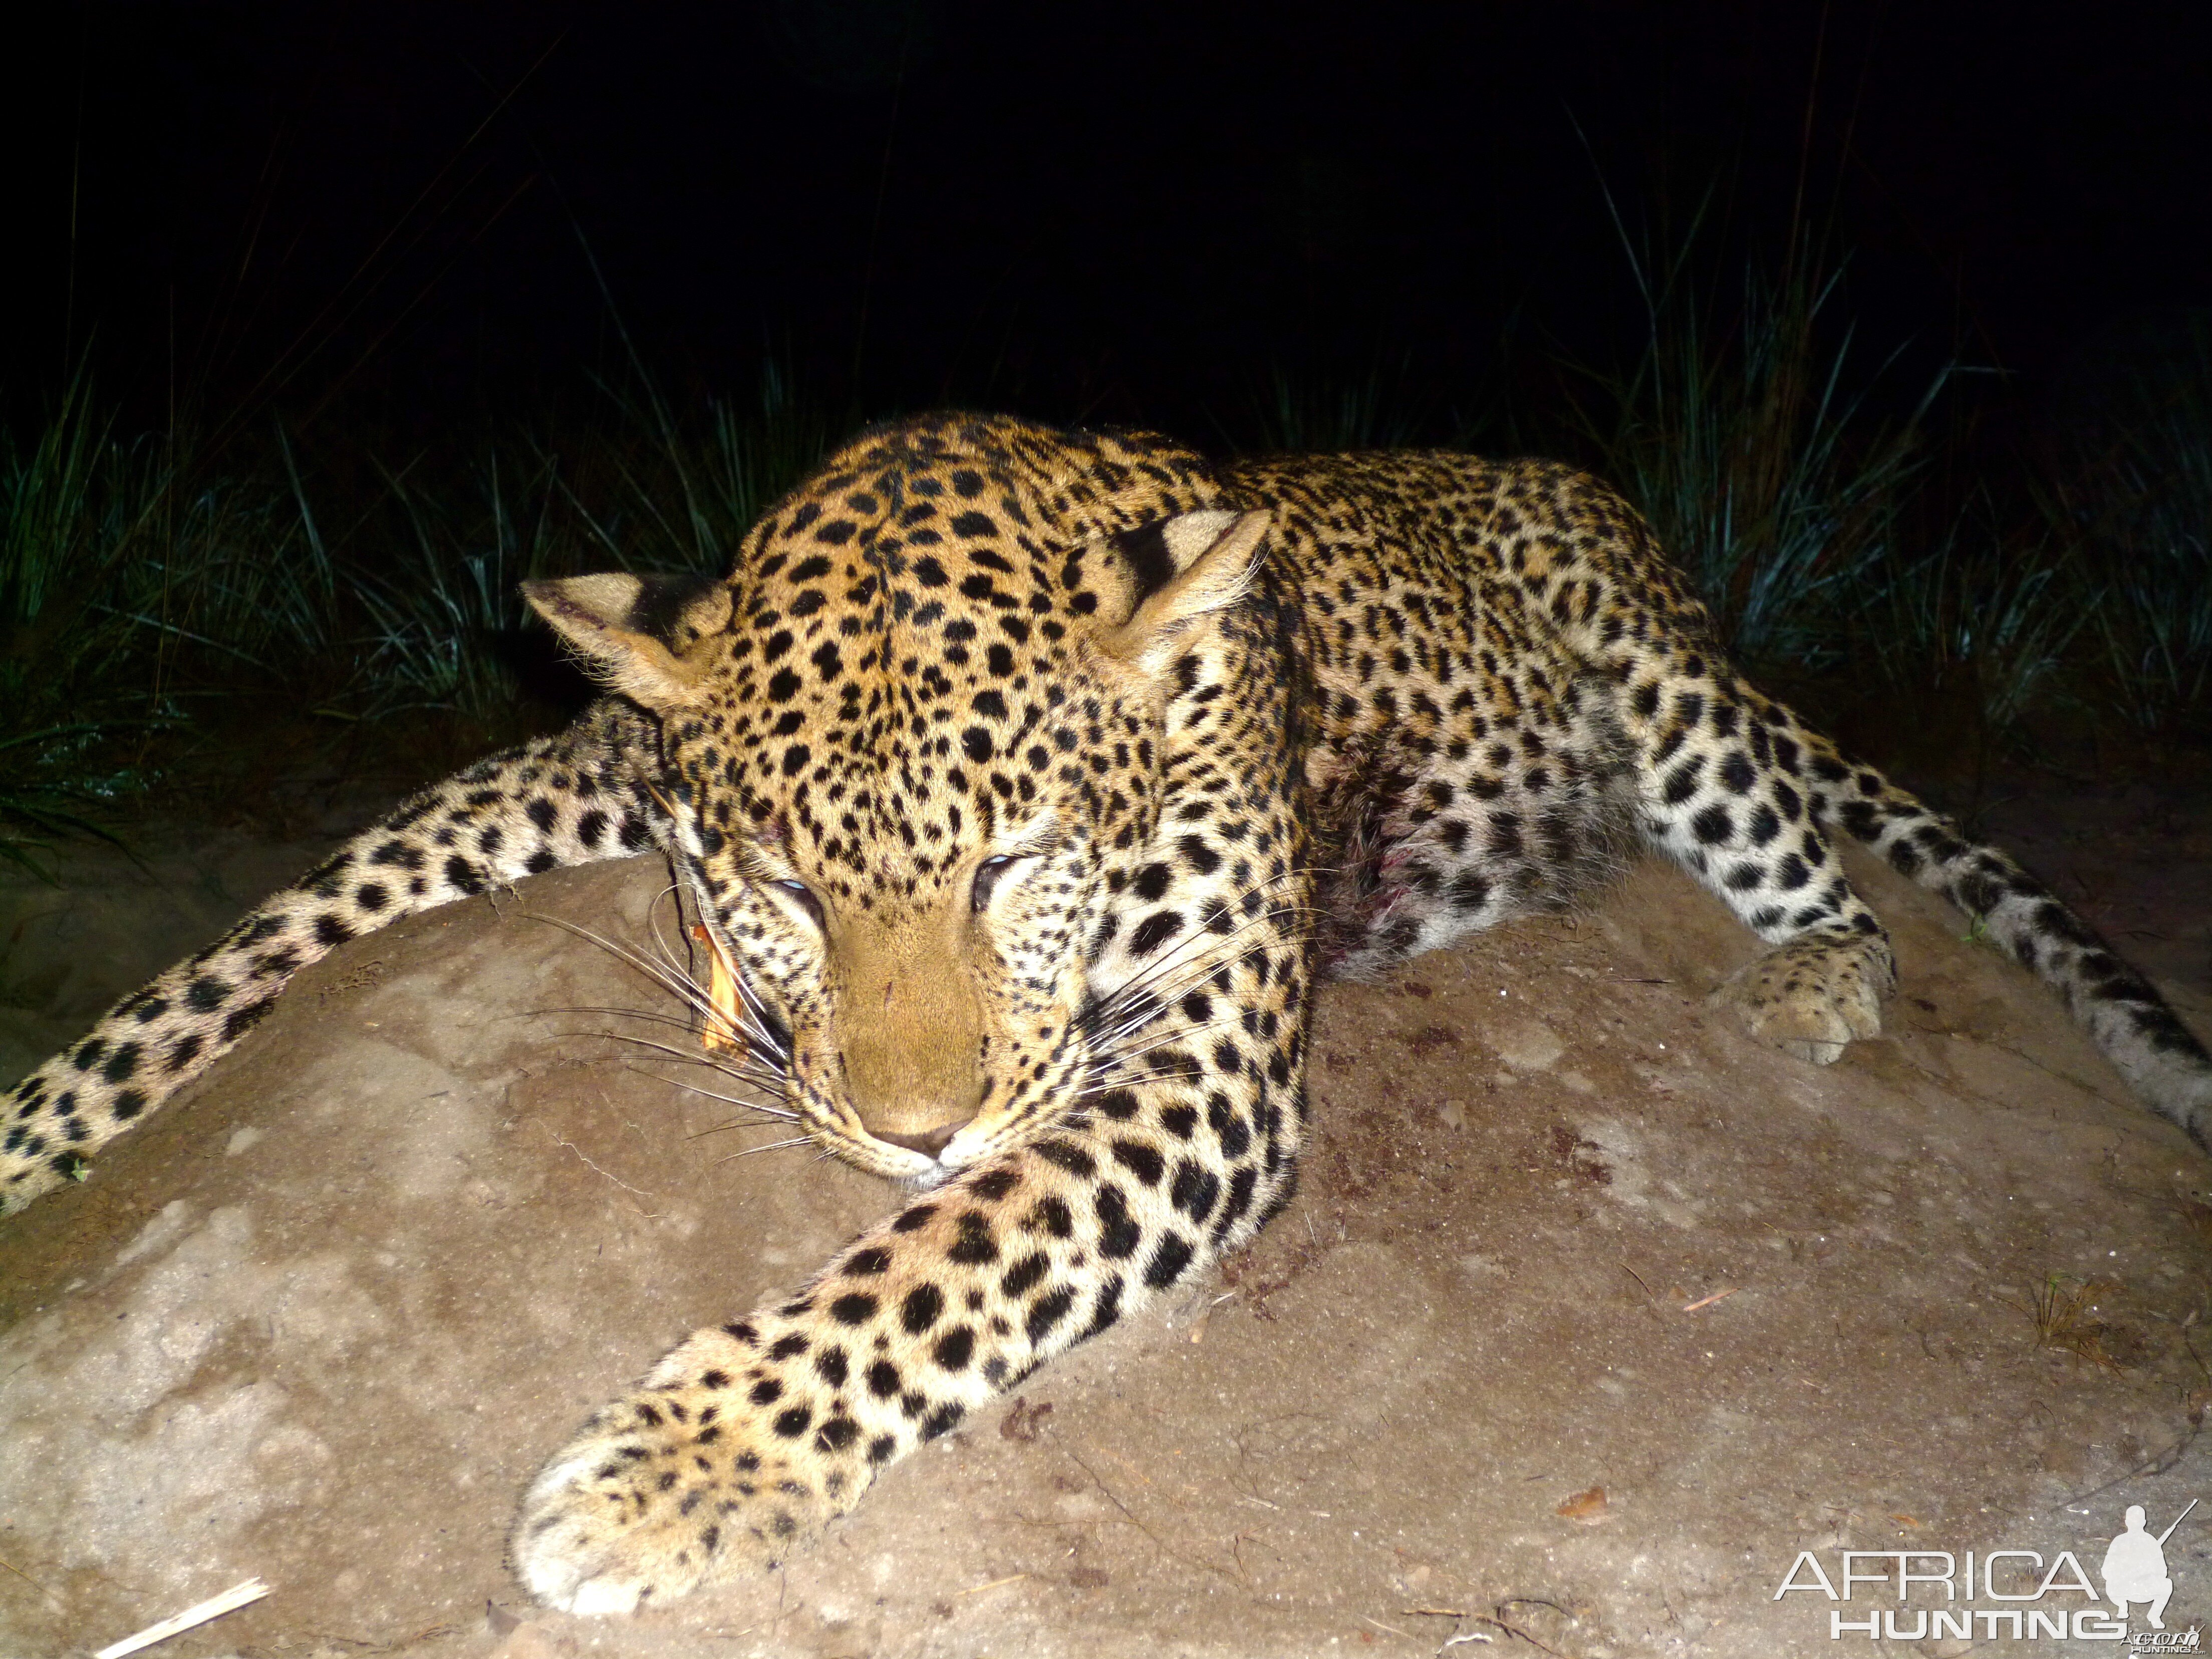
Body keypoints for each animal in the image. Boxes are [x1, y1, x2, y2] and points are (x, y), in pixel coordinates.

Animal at [4, 409, 2212, 1619]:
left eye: (1010, 867)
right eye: (782, 886)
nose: (904, 1128)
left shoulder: (1212, 1056)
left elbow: (957, 1255)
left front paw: (676, 1471)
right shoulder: (554, 781)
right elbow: (251, 938)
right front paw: (37, 1133)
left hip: (1655, 679)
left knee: (1810, 859)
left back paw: (1811, 978)